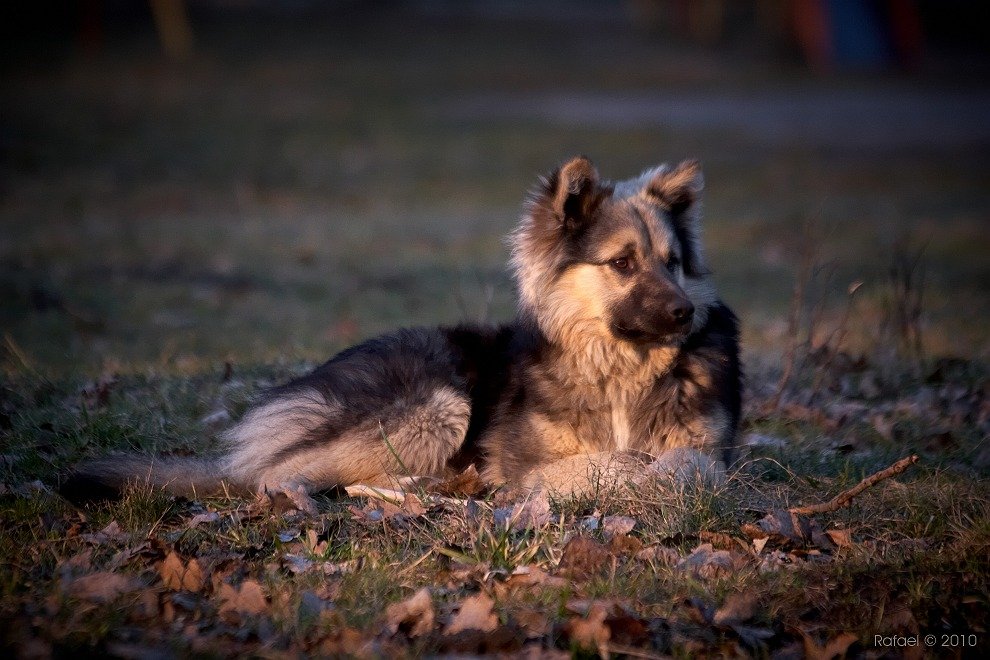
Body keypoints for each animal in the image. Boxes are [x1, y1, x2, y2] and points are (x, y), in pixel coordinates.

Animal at [60, 157, 744, 508]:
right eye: (623, 263)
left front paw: (655, 470)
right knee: (275, 471)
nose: (685, 315)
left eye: (674, 262)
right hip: (438, 404)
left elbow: (692, 463)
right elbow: (600, 464)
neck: (619, 365)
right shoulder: (530, 458)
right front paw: (622, 469)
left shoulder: (709, 450)